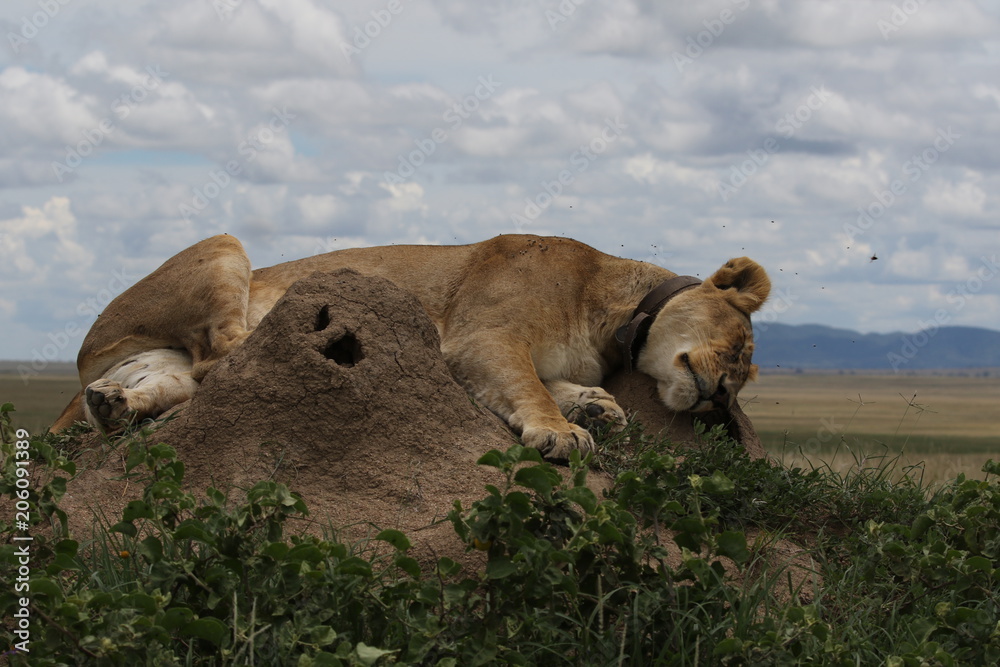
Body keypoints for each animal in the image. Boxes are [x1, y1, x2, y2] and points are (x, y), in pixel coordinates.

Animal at [51, 234, 770, 460]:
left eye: (738, 378)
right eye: (737, 350)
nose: (719, 392)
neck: (613, 316)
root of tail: (85, 357)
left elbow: (548, 383)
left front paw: (594, 405)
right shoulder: (481, 336)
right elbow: (528, 385)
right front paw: (561, 430)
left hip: (153, 368)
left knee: (179, 381)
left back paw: (116, 404)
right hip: (224, 247)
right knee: (220, 350)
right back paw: (323, 326)